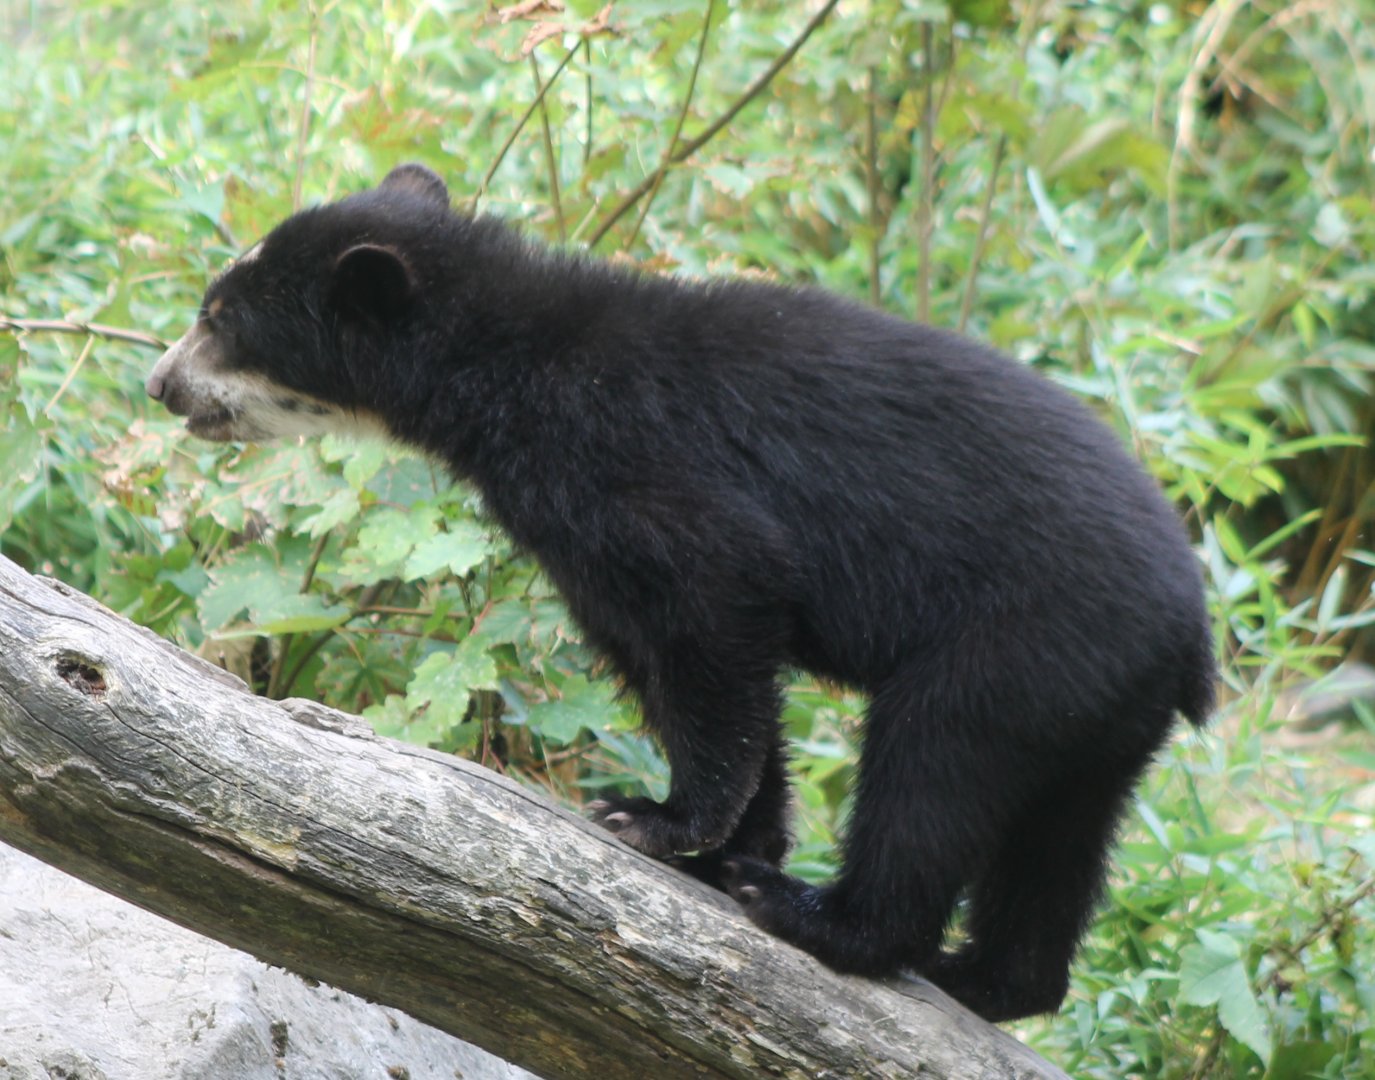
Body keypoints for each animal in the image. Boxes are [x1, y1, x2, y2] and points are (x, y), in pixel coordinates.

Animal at [145, 163, 1214, 1023]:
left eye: (223, 321)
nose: (159, 384)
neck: (502, 375)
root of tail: (1189, 630)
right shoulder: (582, 547)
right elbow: (662, 661)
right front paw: (732, 836)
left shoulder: (634, 473)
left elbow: (716, 619)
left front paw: (661, 823)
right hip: (1092, 710)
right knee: (1057, 846)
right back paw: (988, 980)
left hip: (1013, 644)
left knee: (932, 769)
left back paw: (821, 916)